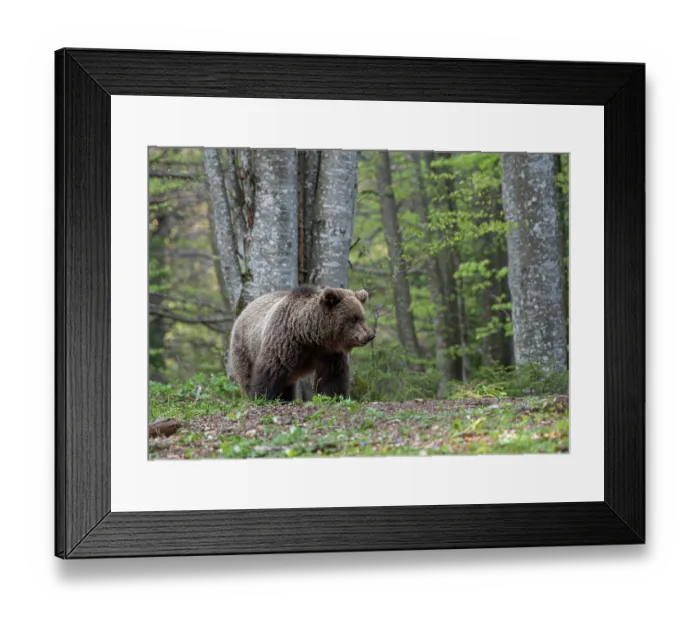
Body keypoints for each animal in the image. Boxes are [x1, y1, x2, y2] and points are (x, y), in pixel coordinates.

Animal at [228, 285, 375, 402]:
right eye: (353, 319)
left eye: (362, 317)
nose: (370, 335)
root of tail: (244, 309)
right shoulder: (284, 344)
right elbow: (270, 372)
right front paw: (262, 397)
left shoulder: (329, 353)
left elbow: (333, 377)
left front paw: (333, 396)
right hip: (245, 348)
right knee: (247, 375)